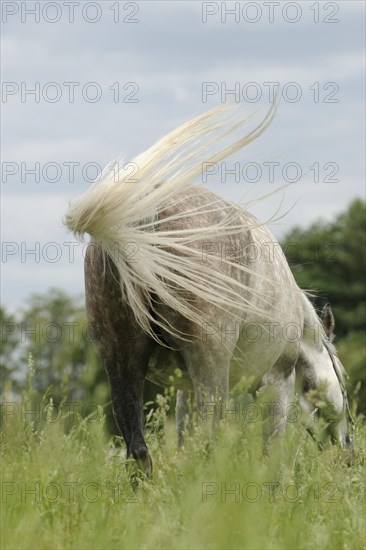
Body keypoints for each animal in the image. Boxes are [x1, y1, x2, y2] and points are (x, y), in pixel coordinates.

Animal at [63, 101, 354, 476]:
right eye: (343, 381)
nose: (348, 452)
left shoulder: (183, 389)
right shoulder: (277, 384)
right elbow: (271, 455)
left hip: (121, 361)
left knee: (139, 452)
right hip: (211, 370)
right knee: (207, 441)